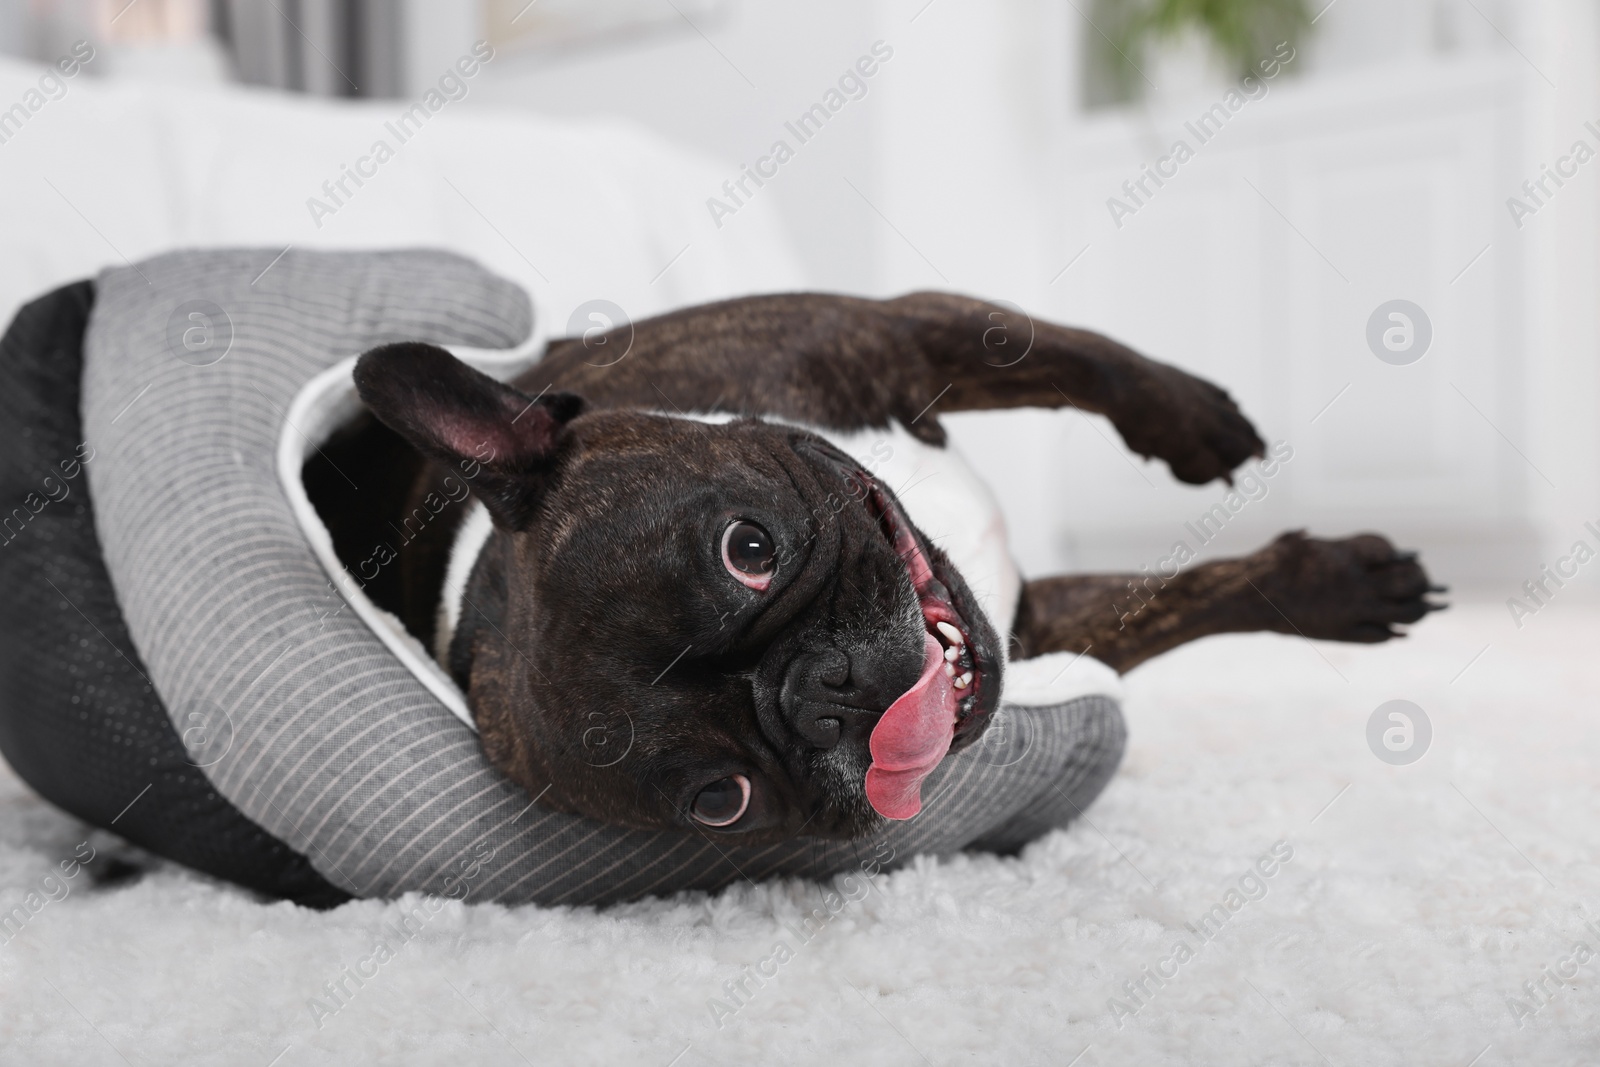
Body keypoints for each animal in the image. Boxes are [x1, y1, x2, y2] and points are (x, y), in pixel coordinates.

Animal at [308, 292, 1440, 844]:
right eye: (721, 798)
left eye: (748, 548)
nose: (829, 697)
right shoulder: (1035, 625)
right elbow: (1178, 601)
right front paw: (1340, 588)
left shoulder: (891, 324)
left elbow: (1069, 352)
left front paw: (1192, 422)